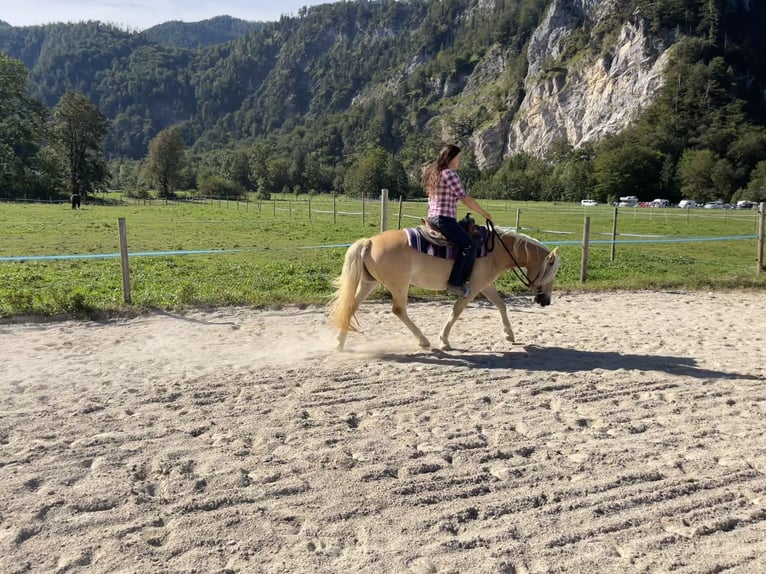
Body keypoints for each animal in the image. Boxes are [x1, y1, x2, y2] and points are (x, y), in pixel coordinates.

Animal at [328, 224, 560, 352]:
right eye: (550, 272)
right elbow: (457, 310)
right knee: (399, 310)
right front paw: (444, 341)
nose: (546, 301)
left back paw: (339, 343)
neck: (495, 250)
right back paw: (423, 341)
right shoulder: (474, 287)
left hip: (369, 283)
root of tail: (369, 242)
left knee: (351, 307)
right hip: (399, 285)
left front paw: (509, 335)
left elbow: (501, 305)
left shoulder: (486, 285)